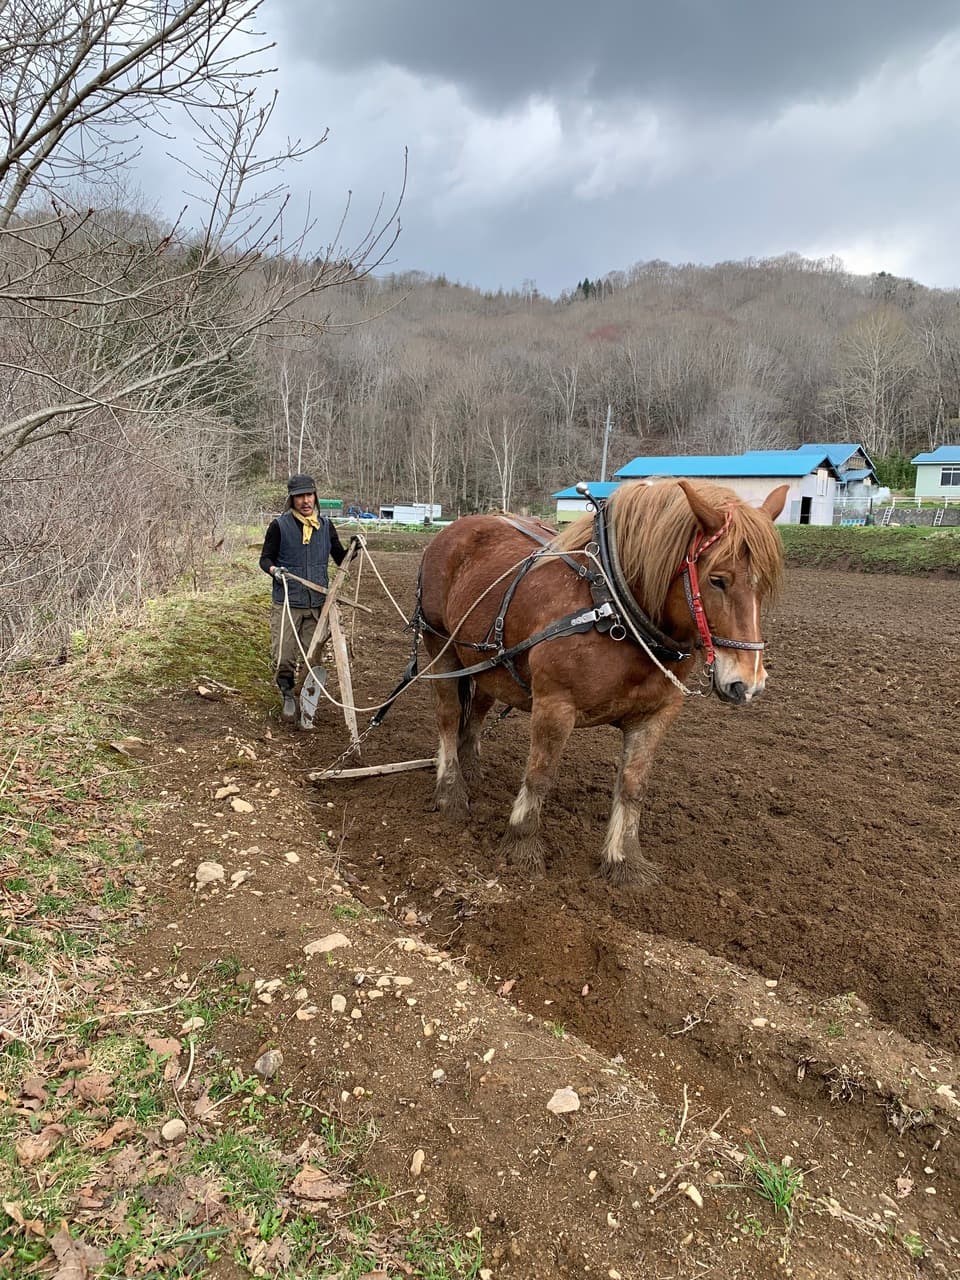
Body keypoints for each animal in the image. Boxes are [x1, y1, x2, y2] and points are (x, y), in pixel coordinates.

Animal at [416, 478, 787, 885]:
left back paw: (472, 772)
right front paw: (522, 845)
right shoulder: (555, 704)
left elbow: (633, 784)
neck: (614, 607)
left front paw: (625, 861)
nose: (748, 684)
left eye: (764, 586)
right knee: (449, 716)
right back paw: (451, 791)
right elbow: (540, 774)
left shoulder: (657, 714)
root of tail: (454, 529)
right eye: (717, 579)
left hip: (485, 665)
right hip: (439, 644)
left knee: (477, 714)